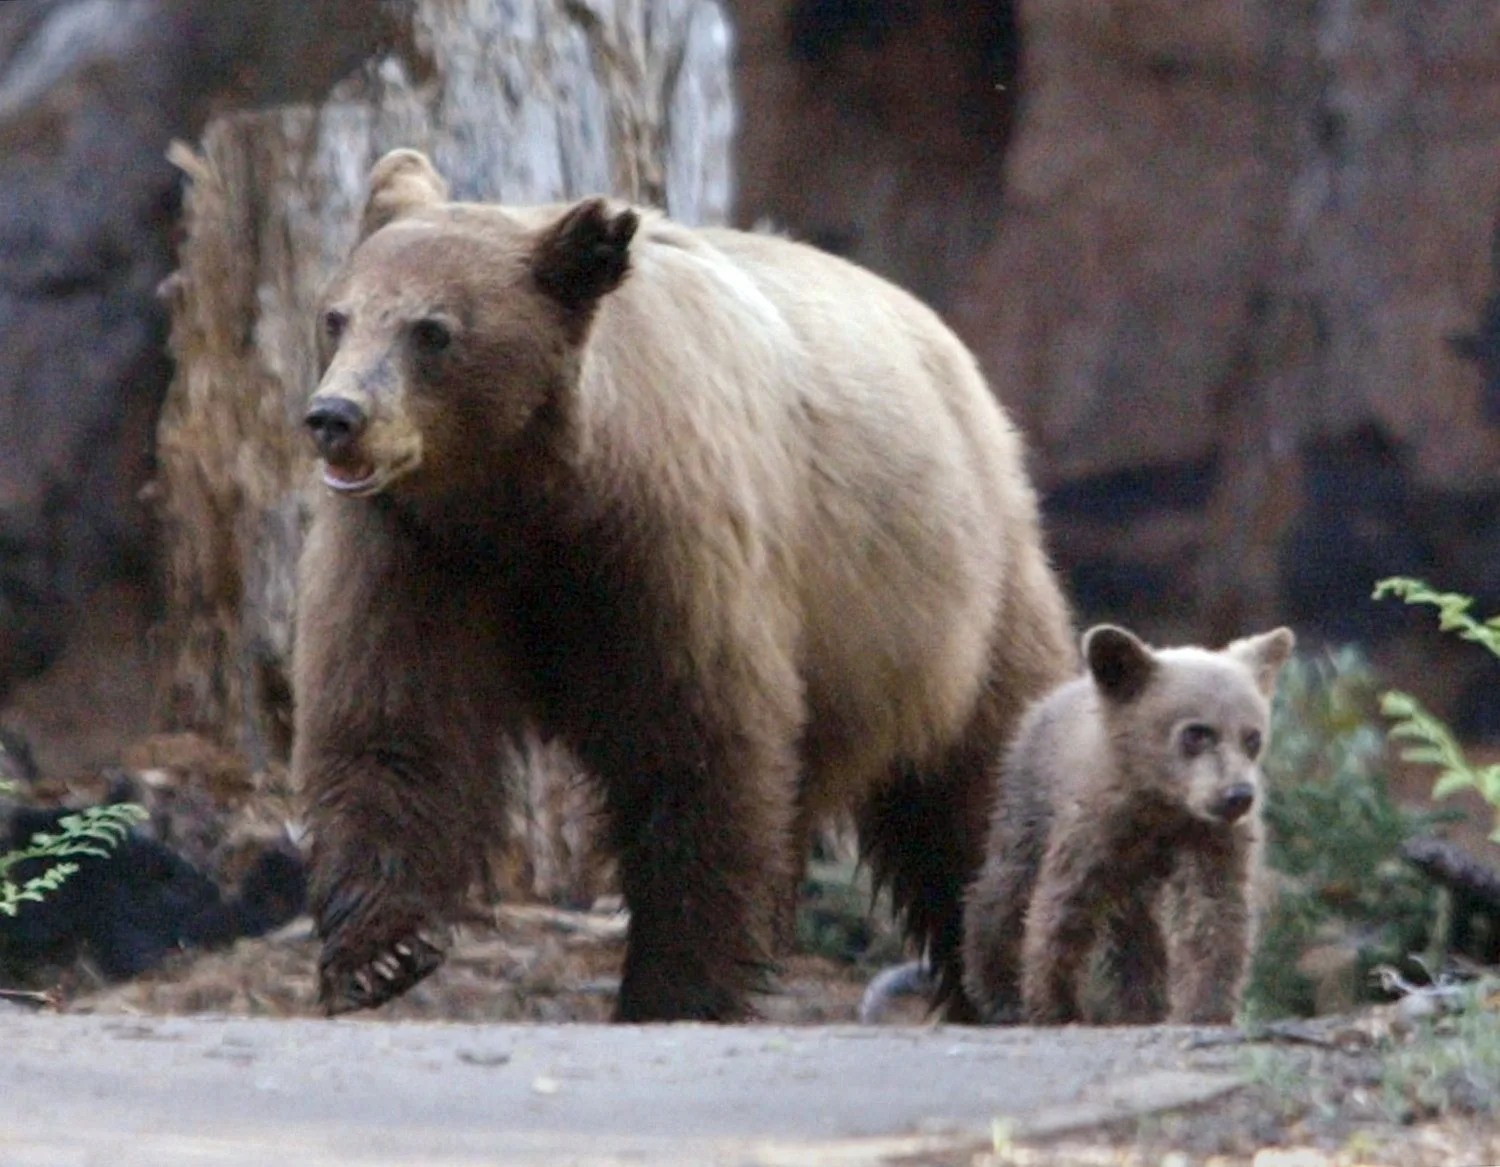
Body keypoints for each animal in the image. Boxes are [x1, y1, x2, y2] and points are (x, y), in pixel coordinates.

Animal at [292, 148, 1078, 1022]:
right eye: (337, 315)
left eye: (434, 330)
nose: (336, 415)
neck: (529, 498)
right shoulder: (420, 553)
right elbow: (394, 718)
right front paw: (380, 953)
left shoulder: (665, 548)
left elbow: (698, 748)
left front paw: (673, 987)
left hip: (957, 591)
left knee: (984, 776)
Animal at [962, 622, 1295, 1026]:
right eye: (1197, 732)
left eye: (1253, 737)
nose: (1238, 796)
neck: (1163, 803)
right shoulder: (1095, 826)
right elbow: (1064, 906)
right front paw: (1055, 1005)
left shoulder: (1210, 838)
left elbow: (1214, 912)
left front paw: (1205, 1007)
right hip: (1029, 799)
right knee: (1007, 884)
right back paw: (995, 988)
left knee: (1133, 927)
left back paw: (1140, 1004)